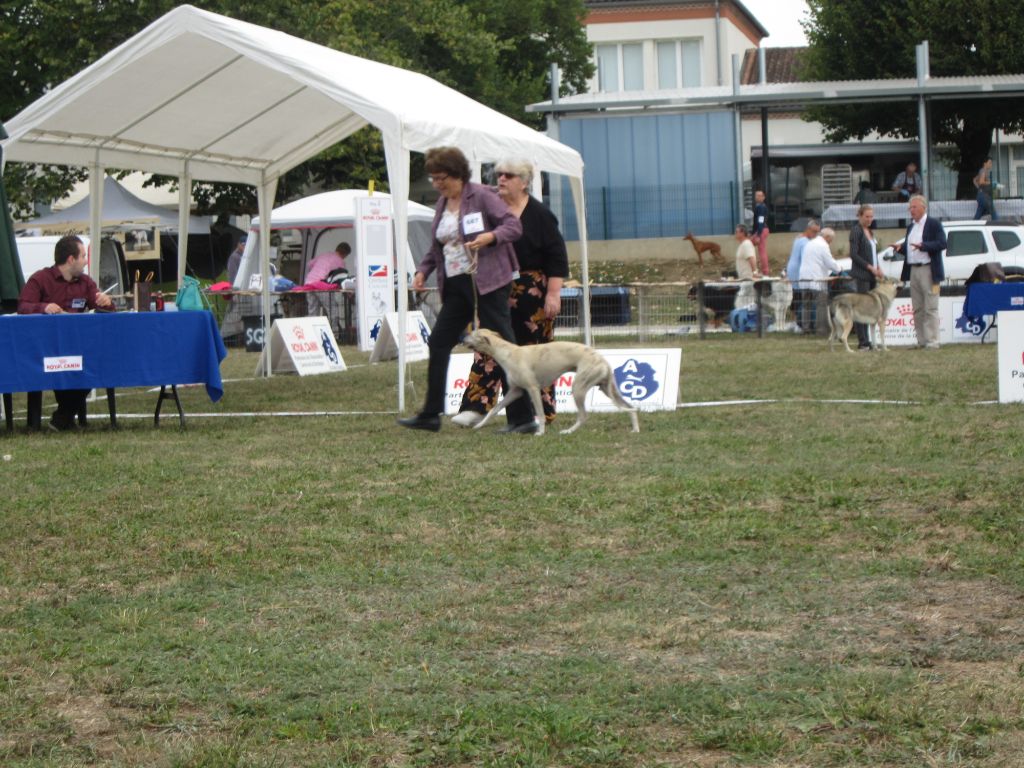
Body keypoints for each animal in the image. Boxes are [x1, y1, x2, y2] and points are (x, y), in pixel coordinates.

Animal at [464, 329, 638, 438]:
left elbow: (540, 414)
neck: (507, 352)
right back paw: (635, 429)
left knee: (583, 415)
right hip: (607, 388)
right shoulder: (515, 391)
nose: (462, 337)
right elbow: (493, 410)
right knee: (630, 407)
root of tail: (603, 360)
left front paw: (540, 432)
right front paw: (478, 425)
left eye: (472, 334)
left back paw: (568, 431)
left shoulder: (533, 388)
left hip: (579, 388)